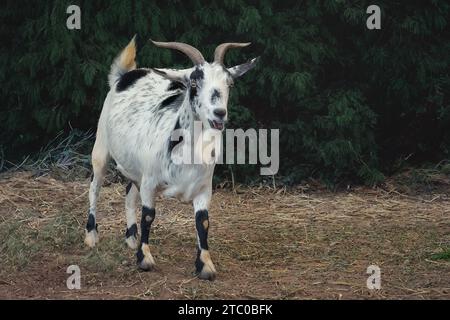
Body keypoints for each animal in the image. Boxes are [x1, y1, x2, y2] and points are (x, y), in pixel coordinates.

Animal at [85, 35, 258, 280]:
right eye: (194, 84)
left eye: (230, 84)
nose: (219, 113)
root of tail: (125, 75)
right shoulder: (150, 182)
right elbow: (148, 215)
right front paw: (145, 259)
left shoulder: (204, 188)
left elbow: (203, 222)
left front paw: (205, 265)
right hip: (101, 146)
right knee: (95, 187)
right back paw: (91, 236)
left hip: (136, 169)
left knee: (129, 193)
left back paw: (131, 238)